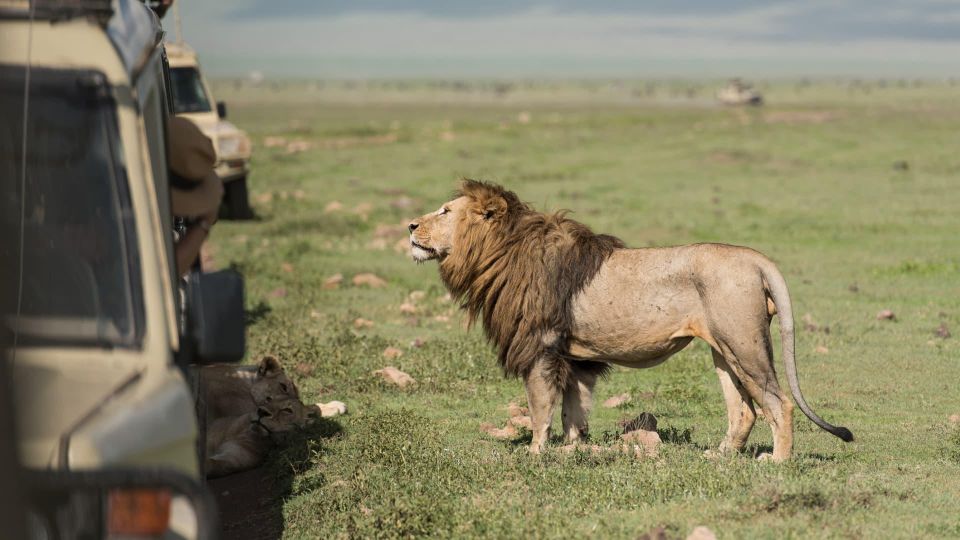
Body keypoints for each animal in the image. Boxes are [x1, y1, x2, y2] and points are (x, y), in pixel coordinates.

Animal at [408, 179, 852, 462]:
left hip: (744, 344)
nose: (410, 225)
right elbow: (573, 410)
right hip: (724, 350)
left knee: (780, 403)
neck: (499, 253)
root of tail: (756, 258)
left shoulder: (540, 346)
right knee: (744, 410)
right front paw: (573, 449)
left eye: (445, 211)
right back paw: (720, 456)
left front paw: (535, 453)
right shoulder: (575, 357)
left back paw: (777, 462)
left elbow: (540, 408)